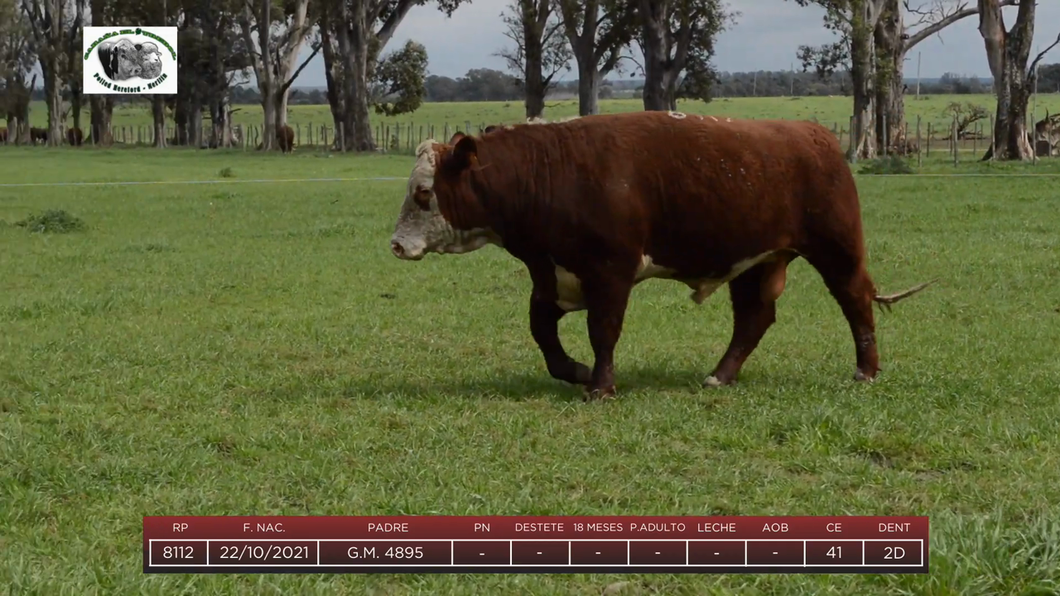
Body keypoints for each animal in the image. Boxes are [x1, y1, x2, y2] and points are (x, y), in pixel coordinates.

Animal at [385, 111, 932, 398]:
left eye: (423, 193)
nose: (396, 244)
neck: (552, 172)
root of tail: (811, 132)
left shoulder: (611, 272)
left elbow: (603, 331)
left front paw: (601, 386)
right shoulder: (553, 276)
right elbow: (543, 333)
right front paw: (575, 372)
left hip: (837, 248)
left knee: (855, 301)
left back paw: (866, 370)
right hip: (754, 263)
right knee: (753, 320)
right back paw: (720, 375)